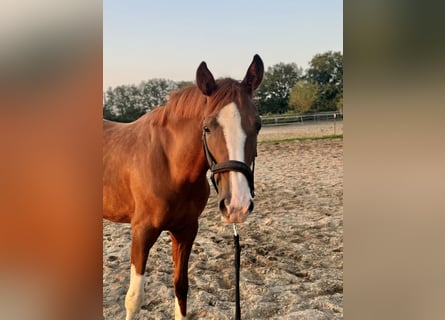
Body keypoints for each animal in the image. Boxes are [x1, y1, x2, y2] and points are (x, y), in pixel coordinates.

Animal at [103, 55, 264, 320]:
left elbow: (181, 288)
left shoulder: (186, 231)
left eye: (258, 125)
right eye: (207, 127)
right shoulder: (142, 232)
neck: (170, 166)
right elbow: (134, 299)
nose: (237, 205)